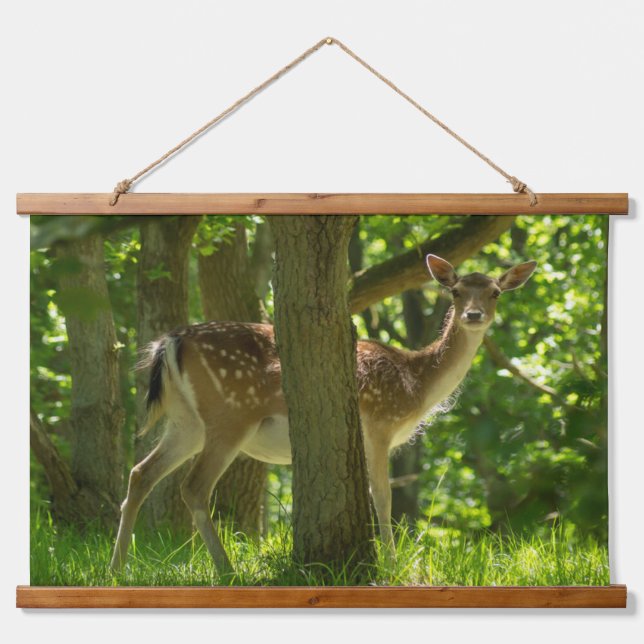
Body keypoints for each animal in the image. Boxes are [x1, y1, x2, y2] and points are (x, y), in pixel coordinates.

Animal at [110, 254, 536, 574]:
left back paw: (118, 569)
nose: (474, 315)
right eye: (456, 290)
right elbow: (383, 497)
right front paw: (392, 565)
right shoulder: (379, 425)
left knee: (140, 473)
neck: (415, 384)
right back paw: (227, 571)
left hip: (186, 422)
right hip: (229, 415)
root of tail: (170, 341)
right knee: (193, 487)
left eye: (495, 292)